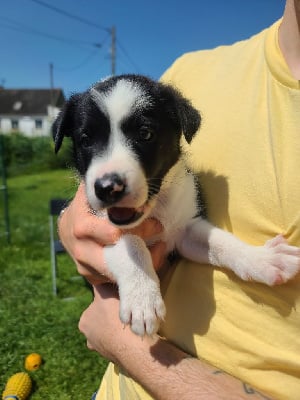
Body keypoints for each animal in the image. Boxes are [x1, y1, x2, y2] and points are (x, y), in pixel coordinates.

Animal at [54, 74, 300, 334]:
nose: (108, 187)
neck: (156, 207)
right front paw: (143, 300)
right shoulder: (101, 229)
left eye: (145, 133)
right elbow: (131, 243)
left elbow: (222, 242)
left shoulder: (185, 230)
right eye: (85, 140)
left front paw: (263, 259)